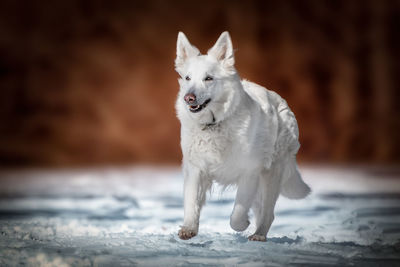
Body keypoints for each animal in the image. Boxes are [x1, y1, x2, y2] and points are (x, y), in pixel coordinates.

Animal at [174, 31, 310, 243]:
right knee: (261, 209)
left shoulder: (249, 172)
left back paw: (259, 234)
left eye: (208, 78)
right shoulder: (195, 169)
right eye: (188, 78)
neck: (215, 124)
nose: (189, 98)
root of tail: (280, 99)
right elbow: (191, 203)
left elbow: (236, 215)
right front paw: (189, 228)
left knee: (268, 212)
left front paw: (243, 224)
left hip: (271, 174)